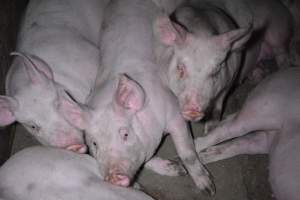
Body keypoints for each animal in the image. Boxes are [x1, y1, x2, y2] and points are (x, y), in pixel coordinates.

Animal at [60, 0, 216, 195]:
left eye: (125, 134)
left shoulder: (174, 112)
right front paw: (175, 169)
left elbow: (187, 152)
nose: (113, 176)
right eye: (95, 143)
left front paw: (208, 189)